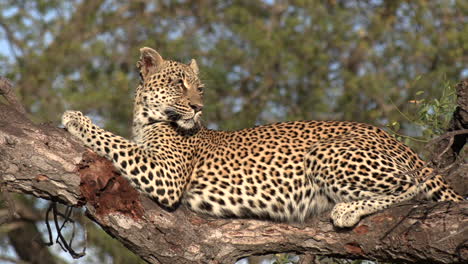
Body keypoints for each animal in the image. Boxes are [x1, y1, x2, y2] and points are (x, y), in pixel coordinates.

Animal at [63, 47, 464, 227]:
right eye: (179, 84)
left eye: (200, 89)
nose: (198, 107)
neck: (147, 120)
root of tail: (386, 135)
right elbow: (121, 143)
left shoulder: (167, 176)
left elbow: (116, 143)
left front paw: (76, 119)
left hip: (325, 153)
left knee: (411, 185)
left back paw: (348, 210)